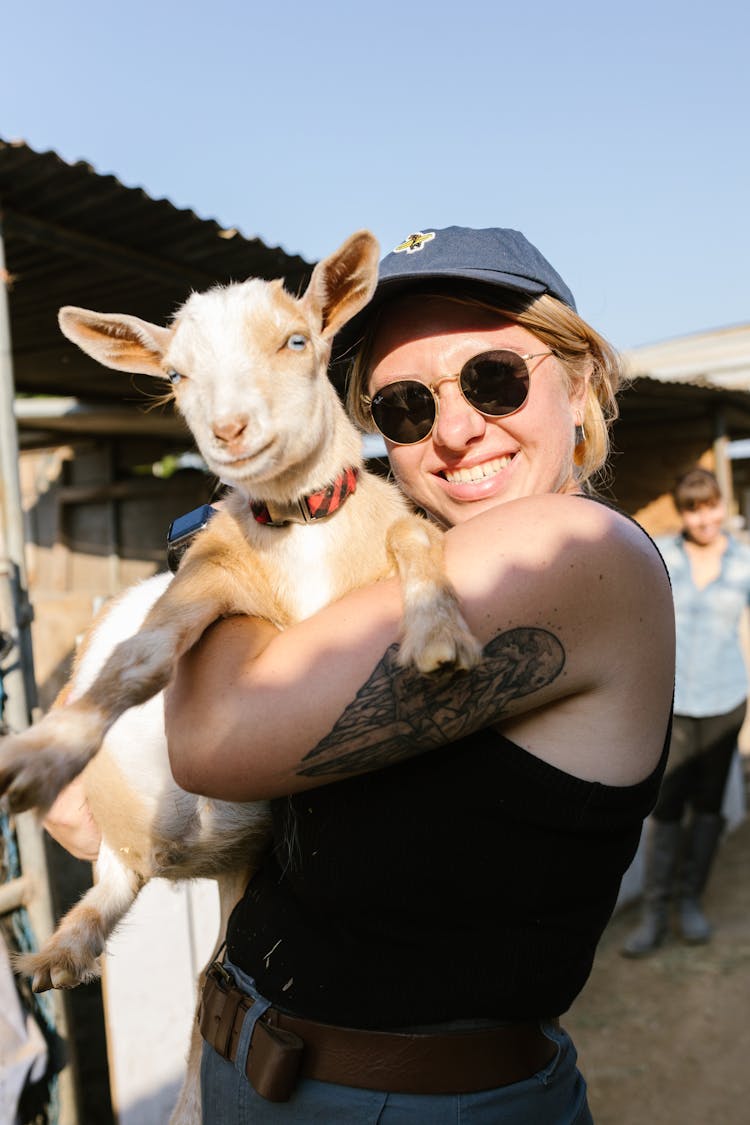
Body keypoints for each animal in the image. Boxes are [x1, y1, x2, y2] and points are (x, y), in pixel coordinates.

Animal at [0, 230, 481, 1125]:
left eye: (295, 340)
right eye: (176, 373)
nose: (228, 429)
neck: (302, 525)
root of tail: (173, 858)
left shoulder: (387, 529)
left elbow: (416, 539)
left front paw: (437, 633)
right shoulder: (208, 580)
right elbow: (140, 657)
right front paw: (45, 751)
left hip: (238, 867)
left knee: (198, 973)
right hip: (130, 846)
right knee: (118, 891)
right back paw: (57, 950)